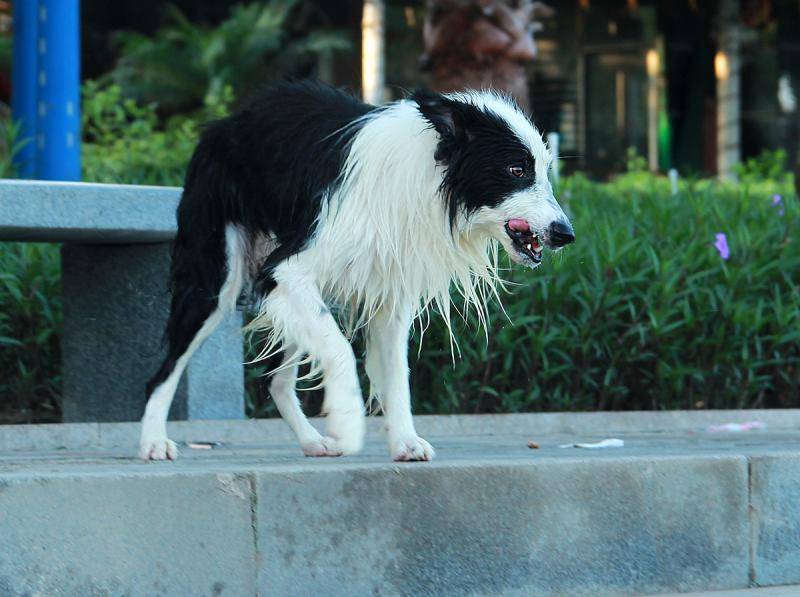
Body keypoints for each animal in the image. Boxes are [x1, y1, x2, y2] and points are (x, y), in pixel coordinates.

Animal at [139, 79, 576, 460]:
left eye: (544, 169)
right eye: (517, 170)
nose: (566, 234)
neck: (427, 175)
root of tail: (225, 122)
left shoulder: (389, 297)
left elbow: (397, 374)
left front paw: (405, 442)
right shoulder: (288, 269)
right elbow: (341, 351)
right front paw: (348, 425)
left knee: (276, 381)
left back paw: (312, 441)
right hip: (216, 278)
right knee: (164, 369)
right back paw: (154, 441)